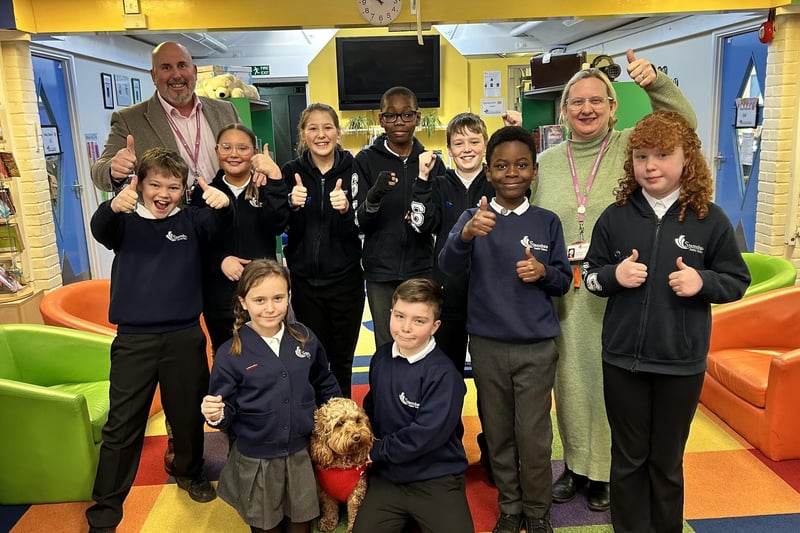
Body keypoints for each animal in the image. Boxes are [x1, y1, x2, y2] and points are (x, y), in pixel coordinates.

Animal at [310, 396, 376, 528]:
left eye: (357, 420)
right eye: (340, 423)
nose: (357, 436)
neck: (342, 465)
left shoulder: (357, 491)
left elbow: (354, 511)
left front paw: (351, 528)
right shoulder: (325, 492)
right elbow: (329, 507)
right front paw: (328, 522)